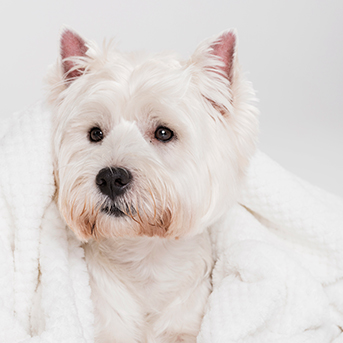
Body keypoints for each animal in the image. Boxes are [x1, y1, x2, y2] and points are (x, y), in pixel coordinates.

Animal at [47, 27, 260, 343]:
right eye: (95, 133)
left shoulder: (187, 323)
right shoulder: (106, 326)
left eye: (163, 133)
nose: (111, 178)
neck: (145, 260)